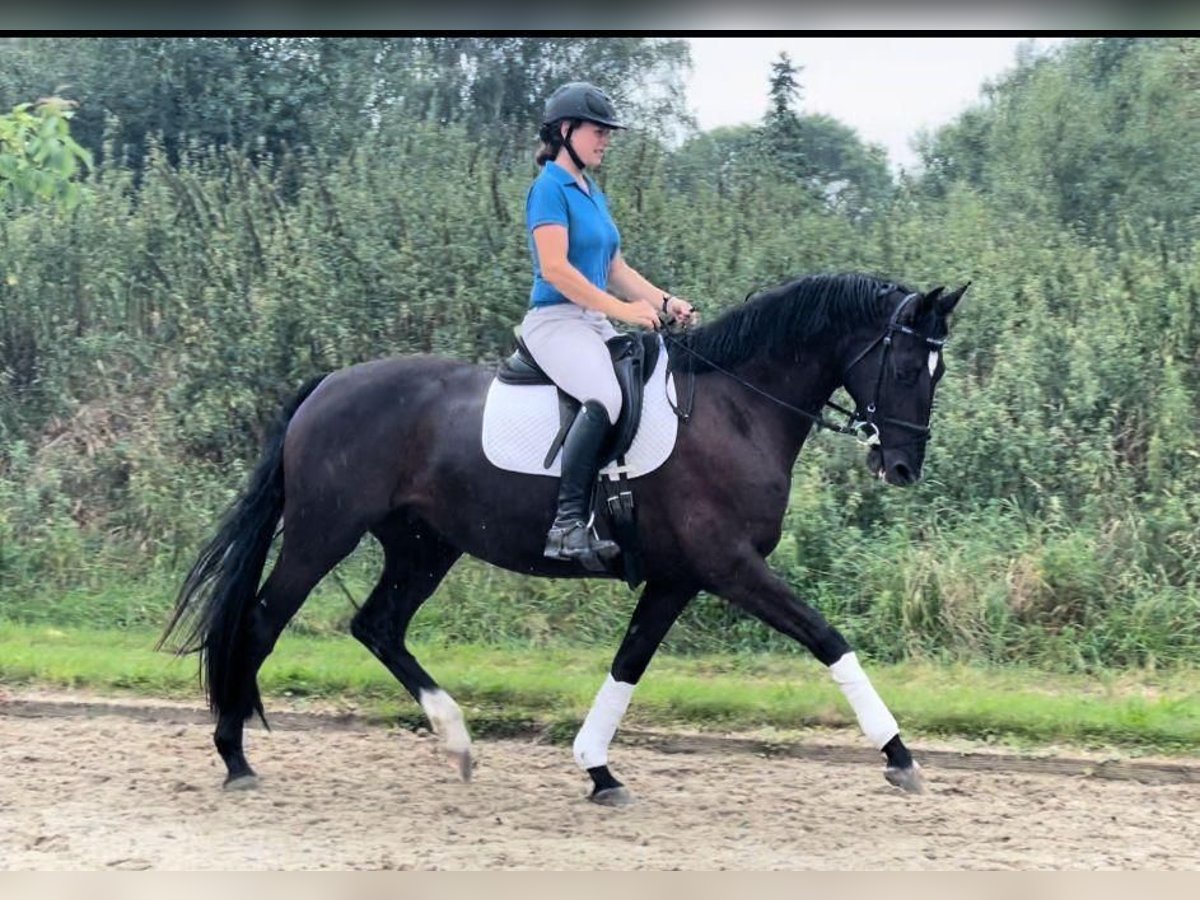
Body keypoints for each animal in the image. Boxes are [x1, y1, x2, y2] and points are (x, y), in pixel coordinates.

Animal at [157, 271, 964, 806]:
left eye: (937, 369)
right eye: (903, 365)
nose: (901, 467)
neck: (736, 407)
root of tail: (325, 387)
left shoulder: (677, 579)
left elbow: (628, 664)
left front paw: (597, 770)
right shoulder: (729, 567)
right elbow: (829, 639)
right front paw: (900, 755)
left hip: (424, 547)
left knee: (377, 625)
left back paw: (457, 741)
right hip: (323, 534)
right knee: (262, 621)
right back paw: (234, 756)